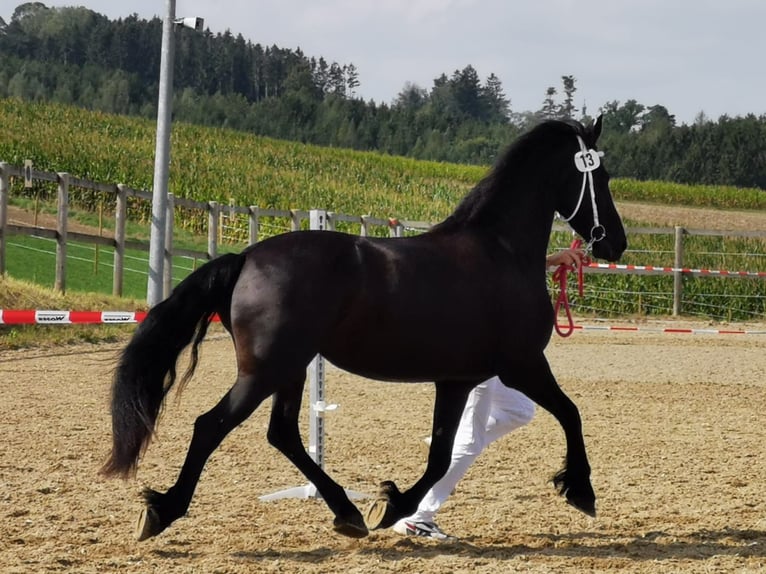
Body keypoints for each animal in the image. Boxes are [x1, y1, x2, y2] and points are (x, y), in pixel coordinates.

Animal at [100, 116, 627, 541]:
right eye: (600, 176)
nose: (616, 243)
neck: (500, 250)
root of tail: (246, 257)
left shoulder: (456, 380)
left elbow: (442, 454)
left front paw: (390, 503)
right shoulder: (523, 365)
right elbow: (571, 413)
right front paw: (581, 490)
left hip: (289, 370)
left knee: (283, 434)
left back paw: (346, 511)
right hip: (265, 371)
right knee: (212, 426)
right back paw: (163, 510)